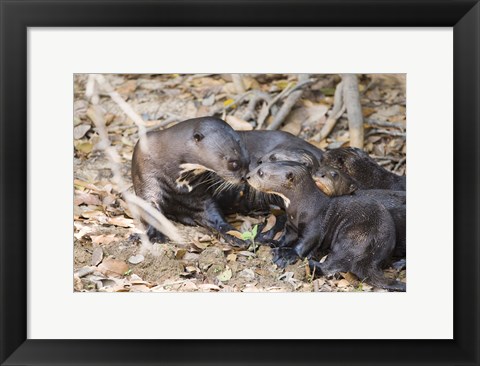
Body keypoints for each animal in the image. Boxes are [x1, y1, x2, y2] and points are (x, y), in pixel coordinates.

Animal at [132, 117, 251, 246]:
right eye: (233, 164)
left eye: (249, 160)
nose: (246, 177)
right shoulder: (147, 176)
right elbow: (150, 209)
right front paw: (154, 235)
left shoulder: (201, 196)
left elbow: (214, 215)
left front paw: (236, 235)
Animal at [244, 162, 404, 290]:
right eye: (258, 165)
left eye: (261, 173)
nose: (247, 177)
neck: (302, 207)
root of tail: (372, 254)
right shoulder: (291, 226)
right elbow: (285, 237)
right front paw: (271, 242)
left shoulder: (314, 225)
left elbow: (305, 242)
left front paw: (286, 255)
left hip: (354, 237)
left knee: (333, 265)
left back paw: (311, 263)